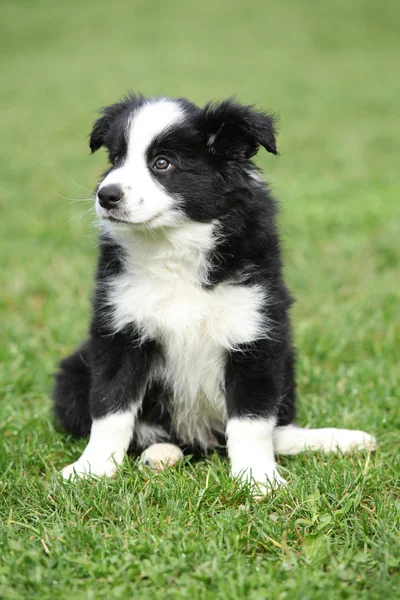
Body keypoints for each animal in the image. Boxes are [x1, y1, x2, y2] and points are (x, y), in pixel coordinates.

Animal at [53, 92, 376, 488]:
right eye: (115, 159)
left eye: (163, 163)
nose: (105, 195)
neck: (176, 245)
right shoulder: (119, 331)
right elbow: (111, 408)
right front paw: (92, 468)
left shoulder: (255, 333)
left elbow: (253, 421)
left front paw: (258, 479)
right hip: (73, 373)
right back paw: (161, 454)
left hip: (286, 362)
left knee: (277, 431)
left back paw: (341, 440)